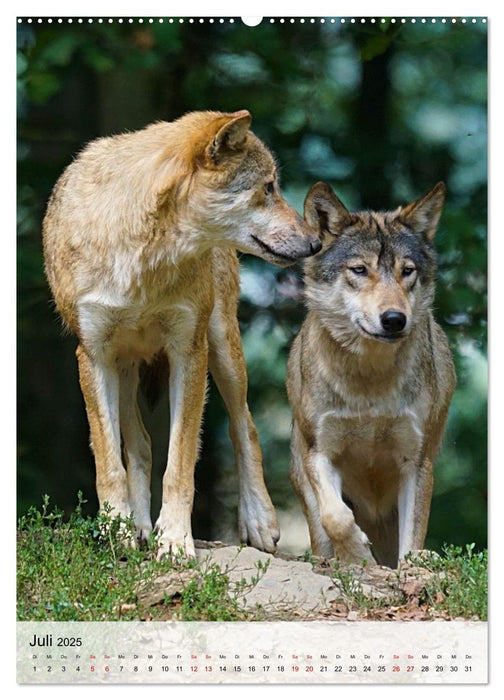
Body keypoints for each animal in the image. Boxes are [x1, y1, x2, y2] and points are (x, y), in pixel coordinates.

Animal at [42, 109, 318, 556]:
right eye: (268, 187)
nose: (315, 243)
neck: (144, 258)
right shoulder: (93, 355)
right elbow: (109, 463)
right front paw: (118, 531)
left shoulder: (189, 351)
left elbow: (181, 463)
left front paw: (173, 540)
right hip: (124, 367)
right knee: (139, 445)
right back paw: (137, 528)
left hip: (222, 348)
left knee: (244, 425)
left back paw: (258, 521)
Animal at [288, 182, 456, 568]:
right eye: (360, 270)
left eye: (407, 271)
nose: (394, 319)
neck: (369, 381)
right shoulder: (319, 451)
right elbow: (335, 517)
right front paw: (357, 555)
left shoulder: (416, 461)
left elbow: (412, 541)